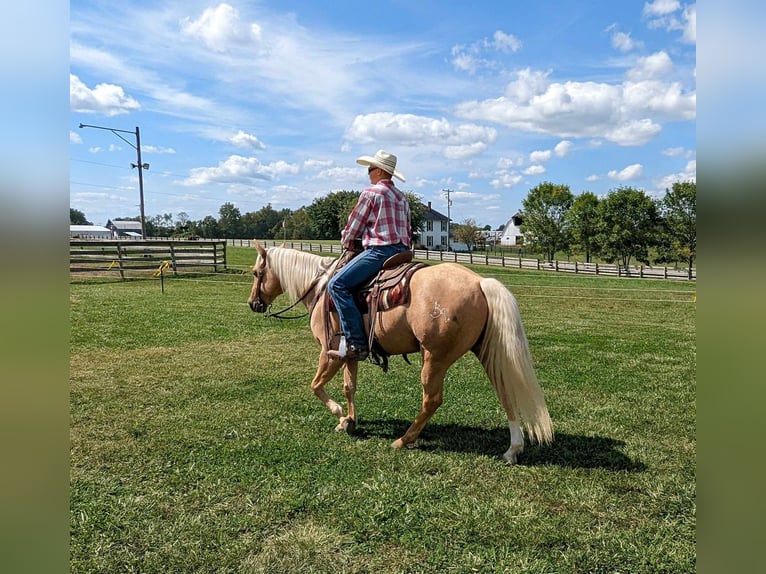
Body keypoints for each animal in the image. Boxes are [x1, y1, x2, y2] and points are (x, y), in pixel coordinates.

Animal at [249, 242, 556, 464]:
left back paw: (403, 440)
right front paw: (349, 420)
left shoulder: (329, 352)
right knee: (505, 391)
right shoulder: (350, 353)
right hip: (486, 350)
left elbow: (316, 385)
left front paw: (339, 415)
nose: (253, 304)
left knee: (432, 400)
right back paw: (513, 449)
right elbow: (349, 387)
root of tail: (480, 282)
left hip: (434, 357)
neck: (323, 288)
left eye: (256, 273)